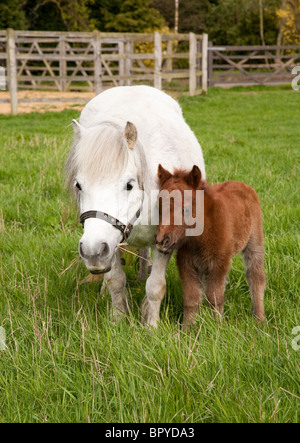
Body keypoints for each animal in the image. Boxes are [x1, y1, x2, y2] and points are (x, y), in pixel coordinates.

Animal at [66, 85, 205, 328]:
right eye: (78, 185)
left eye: (129, 185)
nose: (92, 252)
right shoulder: (109, 240)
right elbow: (115, 280)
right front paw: (117, 318)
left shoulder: (165, 242)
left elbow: (155, 286)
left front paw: (151, 325)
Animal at [156, 165, 266, 328]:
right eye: (158, 208)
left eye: (185, 209)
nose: (161, 240)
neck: (199, 239)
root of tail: (242, 184)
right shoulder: (186, 264)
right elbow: (192, 297)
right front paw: (187, 328)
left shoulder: (219, 263)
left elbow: (214, 297)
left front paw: (217, 326)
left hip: (255, 241)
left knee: (256, 275)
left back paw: (259, 318)